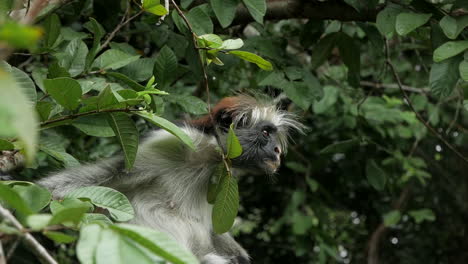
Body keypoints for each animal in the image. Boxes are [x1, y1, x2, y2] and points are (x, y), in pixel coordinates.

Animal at [38, 95, 306, 264]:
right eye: (265, 133)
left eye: (273, 137)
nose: (277, 152)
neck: (209, 159)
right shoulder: (172, 141)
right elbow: (97, 178)